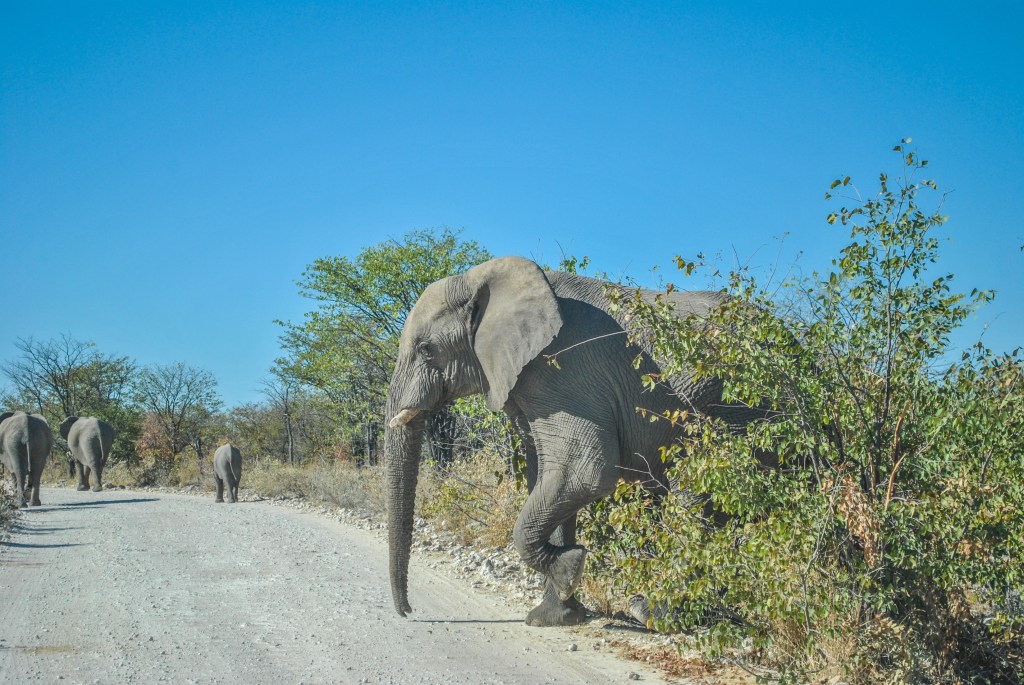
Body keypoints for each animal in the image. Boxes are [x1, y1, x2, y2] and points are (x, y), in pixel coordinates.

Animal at [384, 256, 766, 627]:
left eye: (426, 349)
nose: (408, 613)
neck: (482, 277)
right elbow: (547, 479)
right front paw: (555, 616)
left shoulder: (563, 369)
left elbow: (583, 473)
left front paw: (570, 569)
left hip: (731, 415)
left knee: (695, 500)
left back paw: (656, 614)